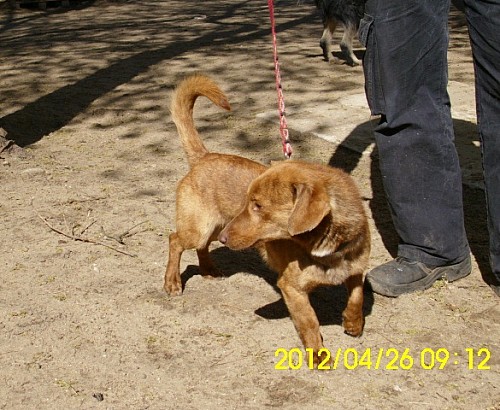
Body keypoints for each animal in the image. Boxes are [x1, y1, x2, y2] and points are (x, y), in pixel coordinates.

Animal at [164, 75, 267, 296]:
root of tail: (204, 156)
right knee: (174, 240)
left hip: (217, 230)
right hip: (198, 230)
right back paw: (172, 282)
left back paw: (208, 270)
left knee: (201, 248)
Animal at [219, 160, 370, 363]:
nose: (222, 238)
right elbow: (309, 321)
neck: (329, 251)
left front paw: (353, 323)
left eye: (257, 205)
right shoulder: (291, 288)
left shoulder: (355, 269)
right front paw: (318, 354)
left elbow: (357, 296)